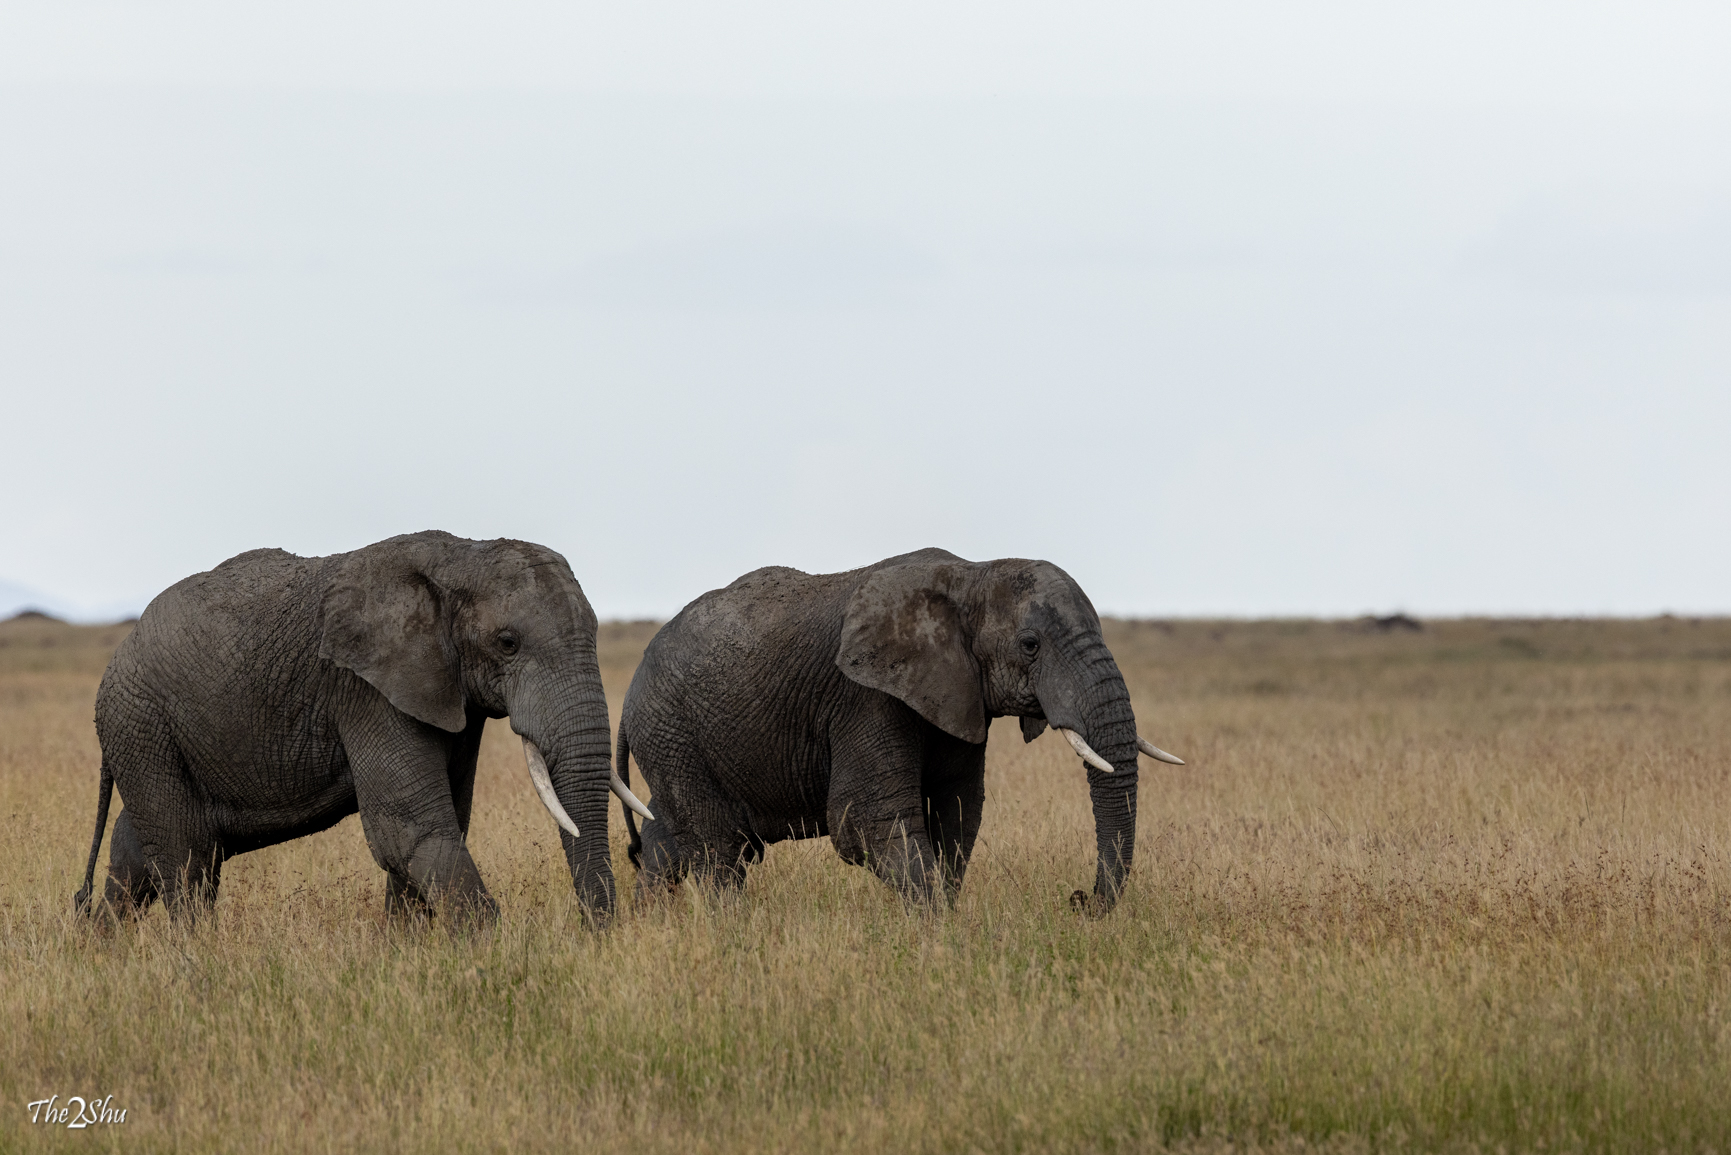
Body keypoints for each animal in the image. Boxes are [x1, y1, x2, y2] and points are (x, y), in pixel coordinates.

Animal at [72, 530, 651, 924]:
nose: (594, 934)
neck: (460, 554)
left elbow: (441, 822)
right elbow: (410, 827)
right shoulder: (365, 690)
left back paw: (102, 949)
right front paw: (492, 950)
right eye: (507, 643)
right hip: (141, 723)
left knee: (139, 852)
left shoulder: (445, 693)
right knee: (186, 858)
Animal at [616, 548, 1184, 911]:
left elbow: (957, 811)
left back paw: (649, 928)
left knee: (669, 837)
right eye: (1030, 645)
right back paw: (731, 933)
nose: (1078, 899)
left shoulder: (957, 696)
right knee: (718, 851)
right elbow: (868, 820)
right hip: (672, 733)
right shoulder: (865, 698)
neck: (972, 575)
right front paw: (937, 939)